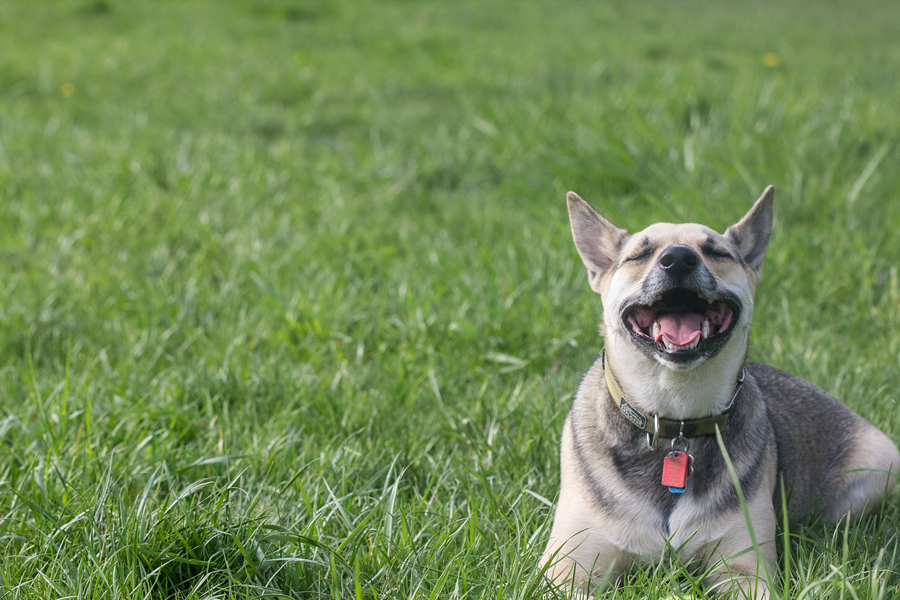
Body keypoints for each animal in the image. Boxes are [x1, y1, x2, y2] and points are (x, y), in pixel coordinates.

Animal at [540, 185, 900, 596]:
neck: (675, 421)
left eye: (716, 252)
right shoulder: (567, 569)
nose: (678, 259)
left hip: (877, 471)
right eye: (639, 255)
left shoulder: (745, 568)